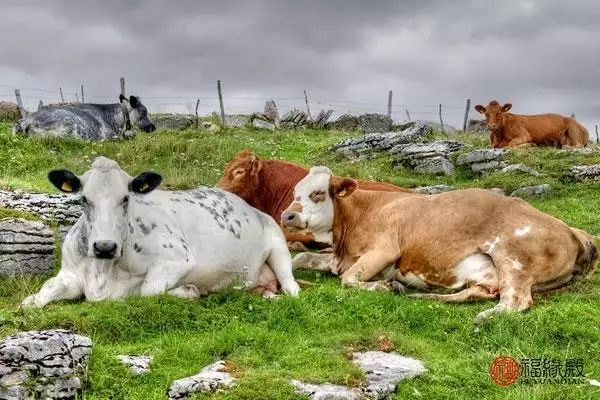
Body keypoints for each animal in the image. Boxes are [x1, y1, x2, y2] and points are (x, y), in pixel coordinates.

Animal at [21, 157, 300, 310]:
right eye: (84, 200)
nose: (104, 246)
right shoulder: (70, 273)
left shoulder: (176, 259)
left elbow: (147, 291)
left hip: (278, 245)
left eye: (126, 198)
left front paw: (188, 291)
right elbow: (42, 293)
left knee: (290, 284)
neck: (103, 273)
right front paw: (29, 302)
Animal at [284, 167, 596, 324]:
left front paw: (384, 286)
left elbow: (348, 280)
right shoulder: (339, 257)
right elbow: (299, 260)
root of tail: (571, 229)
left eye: (317, 193)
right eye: (295, 191)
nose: (287, 215)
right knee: (477, 292)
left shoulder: (385, 249)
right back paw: (423, 296)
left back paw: (483, 318)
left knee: (515, 301)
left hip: (514, 258)